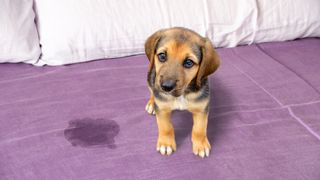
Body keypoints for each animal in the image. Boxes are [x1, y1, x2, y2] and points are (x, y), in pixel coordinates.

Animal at [145, 26, 220, 158]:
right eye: (162, 56)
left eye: (188, 63)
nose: (166, 87)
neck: (182, 94)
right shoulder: (162, 109)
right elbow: (165, 127)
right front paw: (166, 144)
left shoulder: (201, 109)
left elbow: (199, 129)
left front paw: (201, 144)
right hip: (151, 77)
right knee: (152, 91)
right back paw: (151, 103)